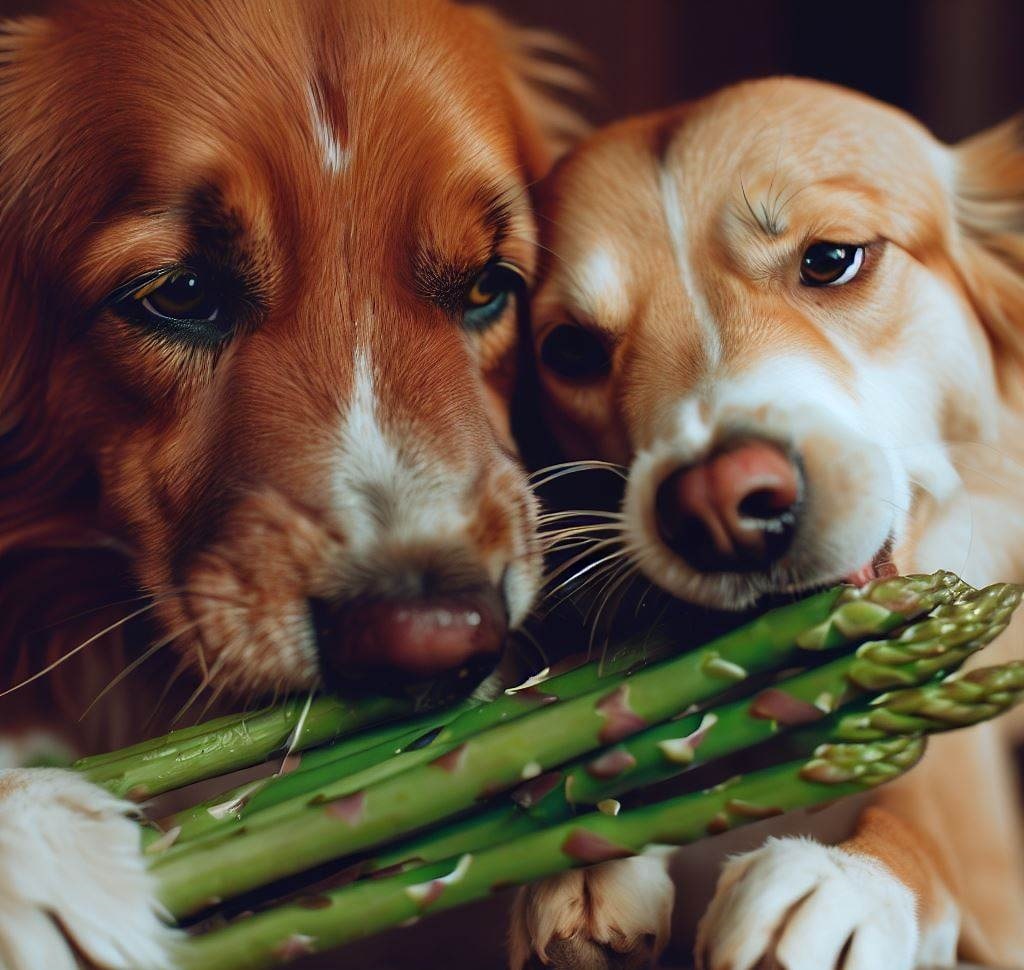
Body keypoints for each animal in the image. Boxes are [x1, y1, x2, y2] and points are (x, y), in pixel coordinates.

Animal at [516, 77, 1024, 970]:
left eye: (832, 258)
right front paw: (591, 844)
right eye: (570, 348)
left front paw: (848, 881)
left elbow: (926, 839)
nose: (717, 507)